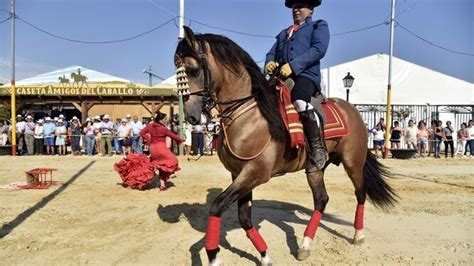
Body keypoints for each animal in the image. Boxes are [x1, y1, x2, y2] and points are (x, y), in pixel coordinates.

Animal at [174, 26, 396, 264]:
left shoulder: (255, 173)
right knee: (321, 200)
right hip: (314, 169)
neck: (249, 115)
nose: (192, 116)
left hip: (353, 163)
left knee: (360, 193)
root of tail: (352, 109)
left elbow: (217, 206)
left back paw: (358, 235)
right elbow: (244, 218)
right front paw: (264, 255)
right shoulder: (239, 174)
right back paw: (305, 245)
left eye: (193, 70)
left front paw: (214, 256)